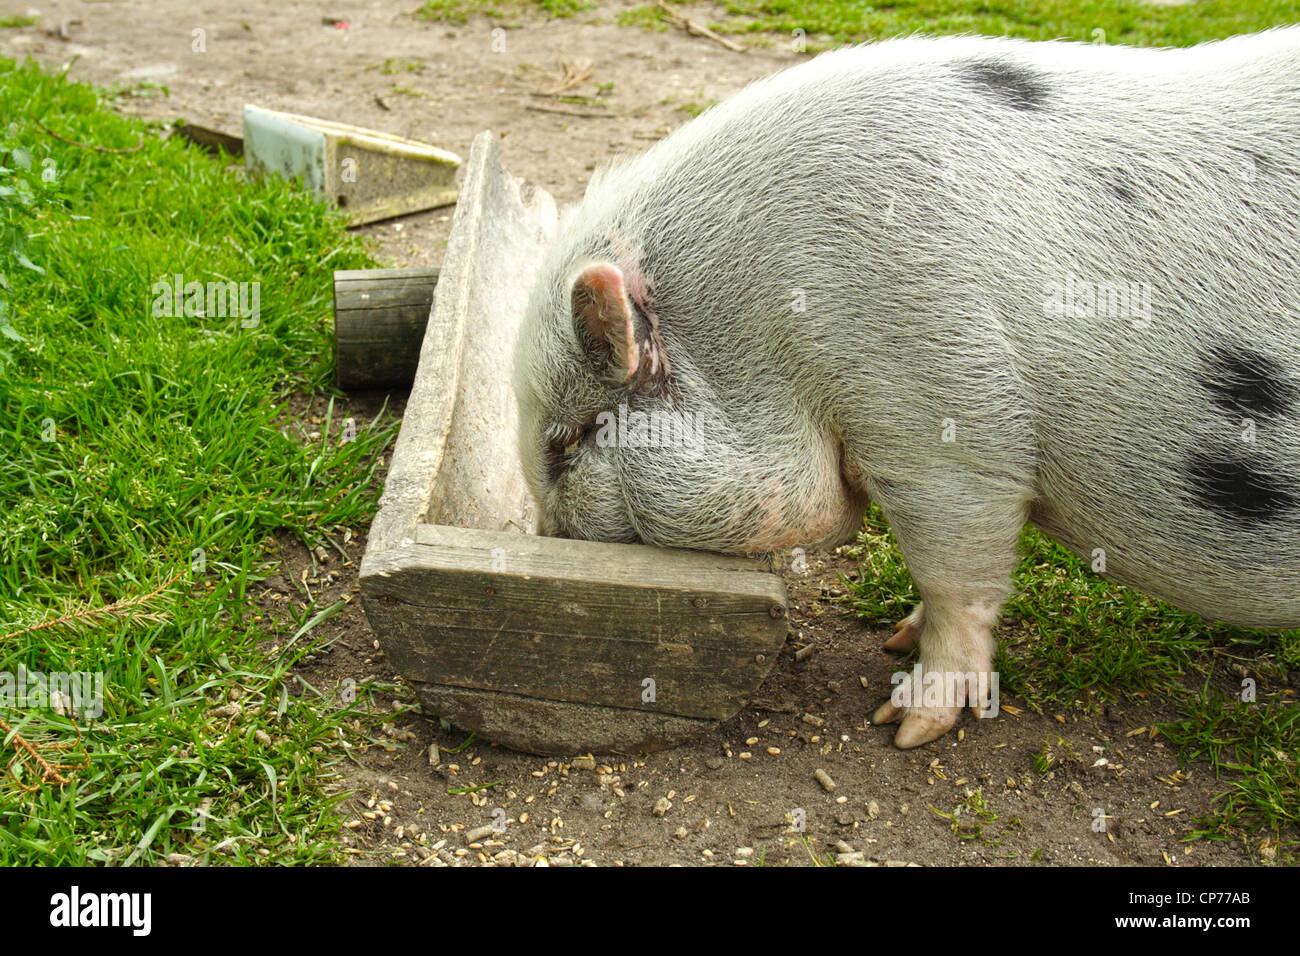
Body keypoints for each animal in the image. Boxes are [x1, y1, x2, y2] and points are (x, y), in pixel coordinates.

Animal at [512, 27, 1300, 749]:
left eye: (570, 440)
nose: (547, 541)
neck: (768, 333)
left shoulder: (946, 428)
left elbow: (954, 578)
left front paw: (903, 726)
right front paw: (896, 637)